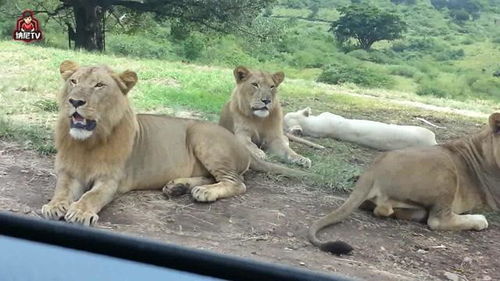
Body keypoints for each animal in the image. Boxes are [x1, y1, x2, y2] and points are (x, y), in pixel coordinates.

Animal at [41, 60, 304, 225]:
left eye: (99, 85)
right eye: (74, 82)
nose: (75, 101)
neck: (88, 143)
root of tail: (242, 146)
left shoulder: (110, 180)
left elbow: (91, 197)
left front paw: (80, 212)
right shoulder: (68, 172)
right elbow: (61, 190)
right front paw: (54, 206)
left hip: (202, 135)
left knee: (236, 183)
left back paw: (203, 193)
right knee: (212, 177)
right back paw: (178, 186)